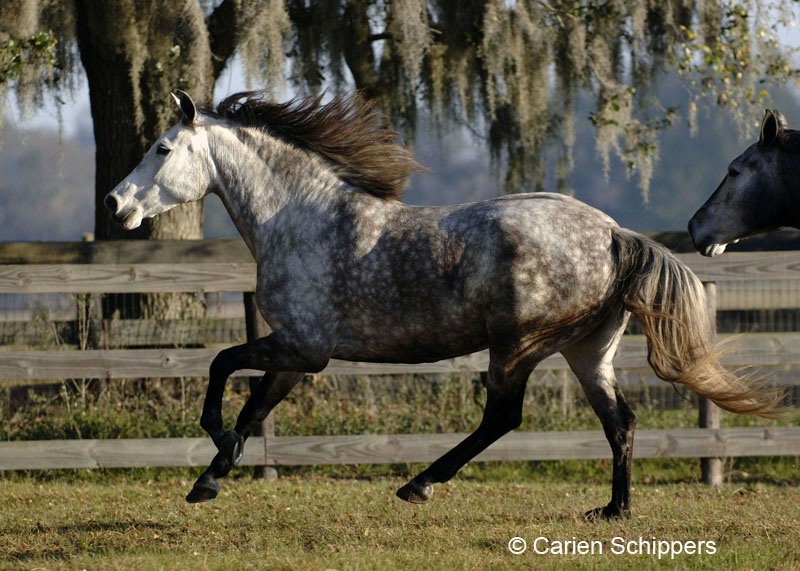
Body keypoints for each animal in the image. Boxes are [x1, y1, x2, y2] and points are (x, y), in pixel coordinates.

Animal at [104, 91, 780, 520]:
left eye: (162, 148)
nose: (115, 203)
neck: (298, 221)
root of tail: (616, 234)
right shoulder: (295, 353)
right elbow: (255, 406)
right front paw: (210, 479)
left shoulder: (303, 347)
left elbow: (221, 366)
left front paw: (216, 448)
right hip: (588, 352)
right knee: (620, 422)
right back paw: (615, 510)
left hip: (518, 346)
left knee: (503, 418)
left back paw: (419, 486)